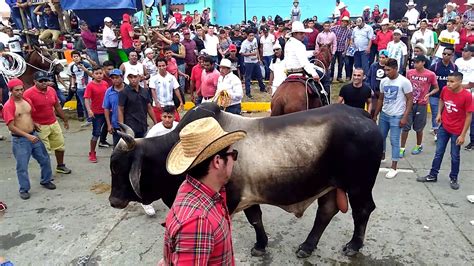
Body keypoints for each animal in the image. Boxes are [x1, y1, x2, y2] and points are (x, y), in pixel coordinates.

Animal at [109, 103, 384, 258]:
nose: (113, 200)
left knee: (363, 211)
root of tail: (362, 113)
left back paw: (353, 245)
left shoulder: (228, 199)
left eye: (118, 167)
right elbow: (256, 220)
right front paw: (261, 245)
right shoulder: (249, 197)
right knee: (326, 212)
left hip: (359, 185)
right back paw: (307, 246)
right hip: (329, 185)